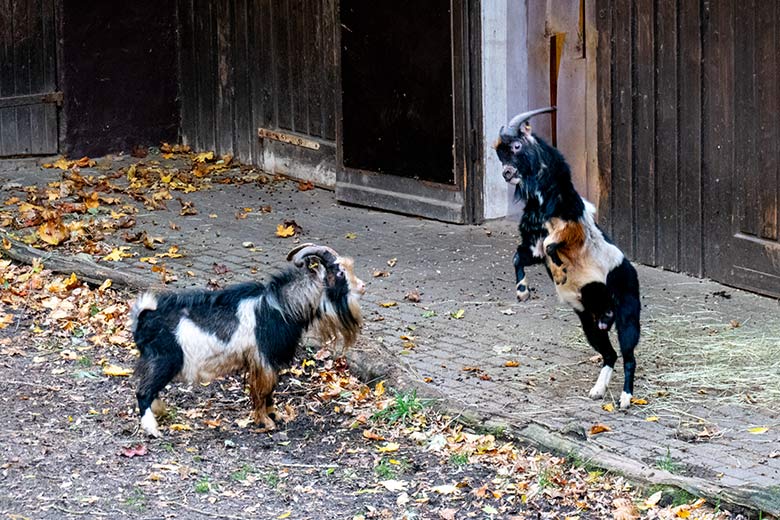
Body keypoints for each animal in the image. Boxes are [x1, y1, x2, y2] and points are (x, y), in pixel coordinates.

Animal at [131, 242, 366, 436]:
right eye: (340, 272)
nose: (363, 287)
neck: (281, 307)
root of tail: (144, 317)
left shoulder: (269, 360)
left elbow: (271, 389)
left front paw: (274, 414)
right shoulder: (263, 358)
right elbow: (262, 390)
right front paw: (264, 421)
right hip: (165, 360)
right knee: (143, 392)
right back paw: (152, 428)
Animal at [494, 109, 640, 408]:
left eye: (517, 146)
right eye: (499, 153)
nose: (507, 173)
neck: (543, 200)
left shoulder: (571, 229)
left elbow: (552, 245)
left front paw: (561, 273)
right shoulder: (533, 247)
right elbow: (518, 257)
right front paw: (522, 292)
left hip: (627, 317)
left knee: (629, 356)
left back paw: (625, 399)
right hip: (591, 323)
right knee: (610, 354)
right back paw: (597, 391)